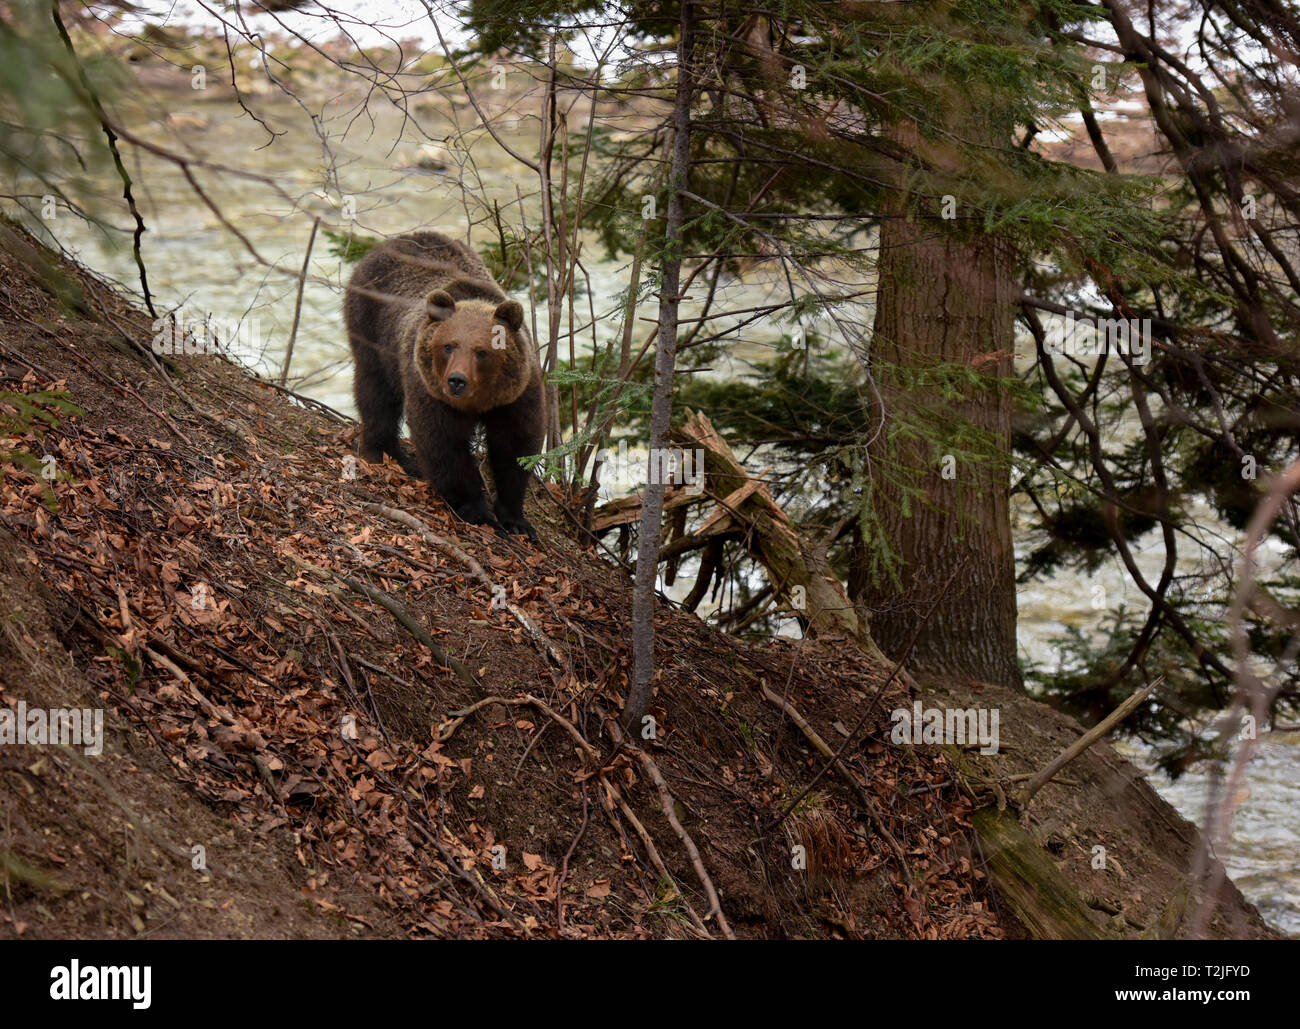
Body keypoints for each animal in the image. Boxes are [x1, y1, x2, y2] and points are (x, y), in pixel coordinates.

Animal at [344, 231, 545, 541]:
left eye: (482, 351)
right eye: (449, 346)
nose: (457, 380)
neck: (478, 401)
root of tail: (391, 242)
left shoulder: (516, 396)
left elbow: (515, 447)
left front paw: (515, 519)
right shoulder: (430, 390)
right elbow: (442, 443)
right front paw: (477, 509)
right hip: (372, 328)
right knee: (376, 393)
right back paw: (387, 453)